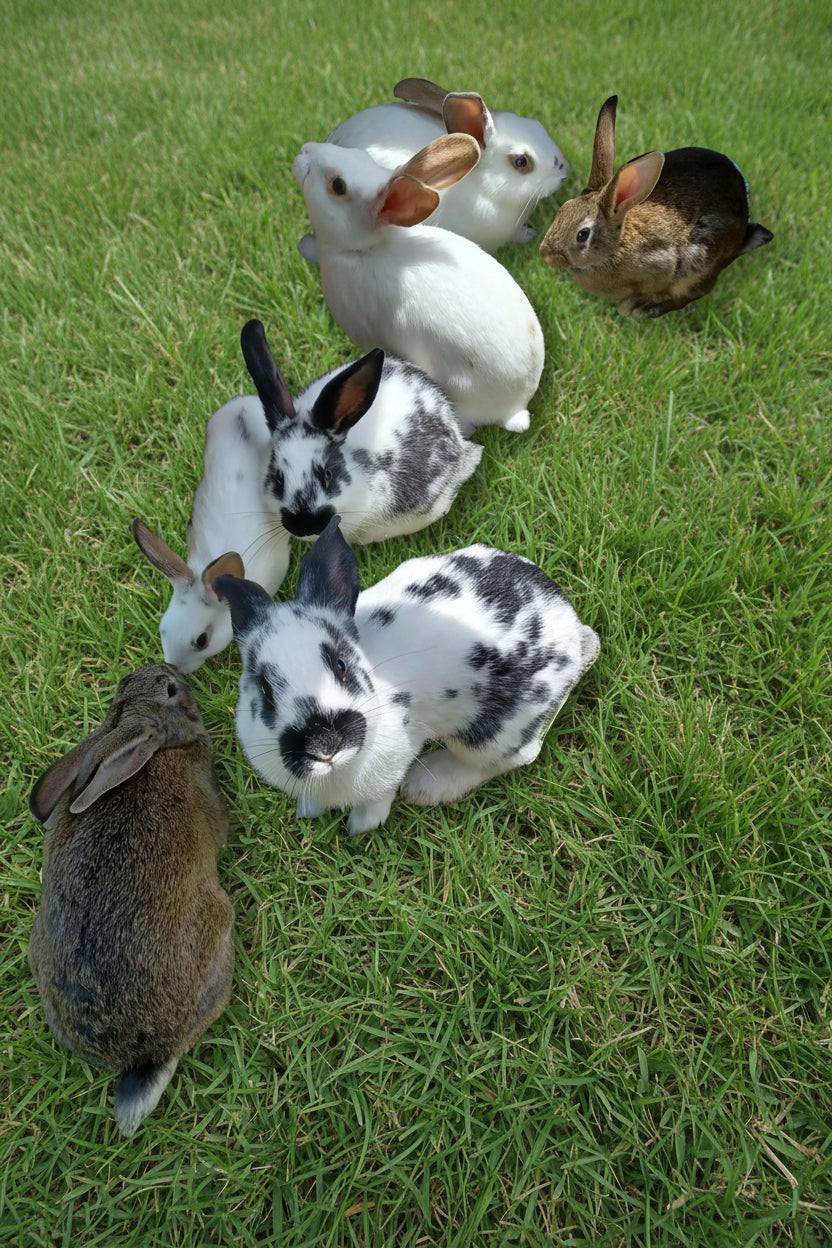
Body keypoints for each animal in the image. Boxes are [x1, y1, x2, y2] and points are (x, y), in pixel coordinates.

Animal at [215, 515, 600, 836]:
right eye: (265, 689)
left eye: (341, 665)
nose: (324, 745)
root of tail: (571, 629)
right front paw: (308, 810)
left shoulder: (399, 753)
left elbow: (380, 796)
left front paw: (362, 826)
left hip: (494, 733)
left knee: (512, 756)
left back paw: (426, 785)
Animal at [538, 95, 773, 318]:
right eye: (562, 210)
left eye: (582, 234)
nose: (545, 254)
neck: (617, 247)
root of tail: (741, 237)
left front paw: (629, 308)